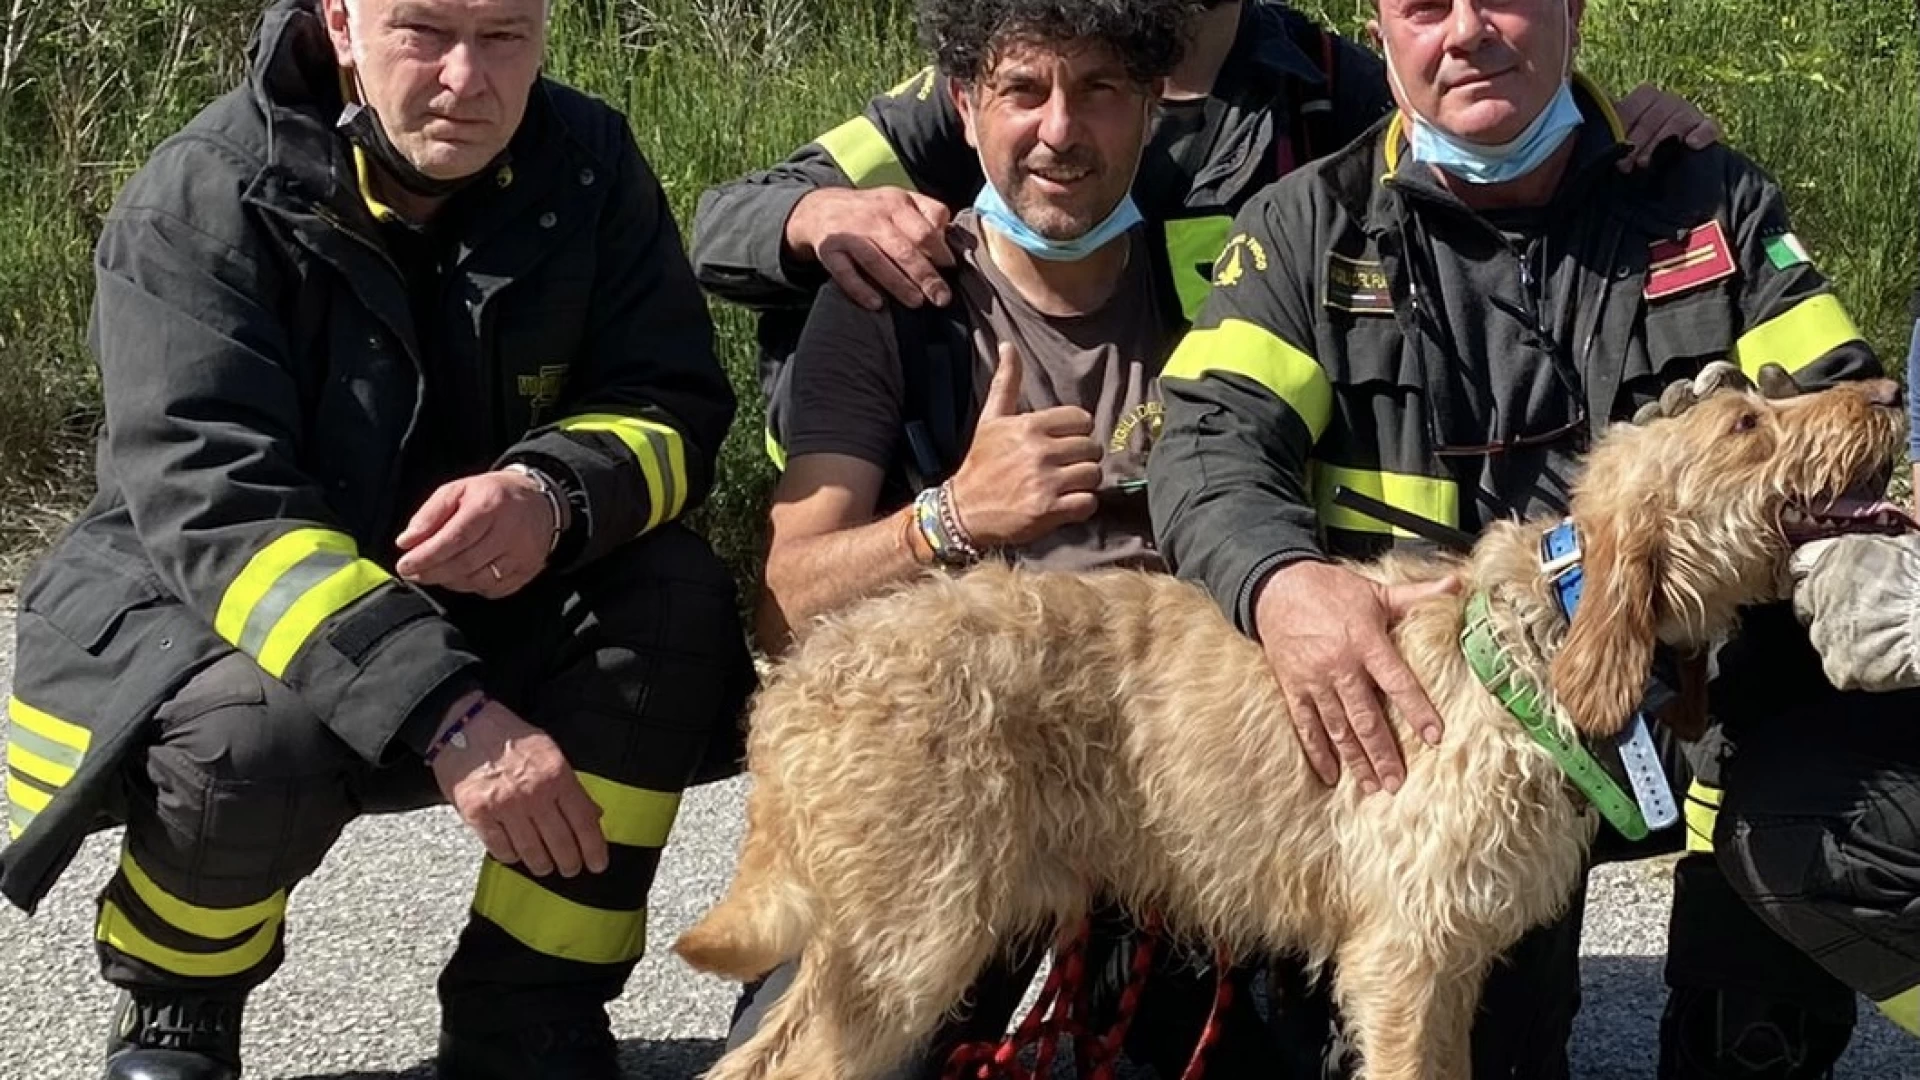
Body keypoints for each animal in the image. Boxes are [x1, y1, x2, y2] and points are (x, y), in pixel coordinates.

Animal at [675, 378, 1904, 1076]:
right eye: (1745, 424)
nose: (1888, 393)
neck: (1539, 638)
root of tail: (797, 681)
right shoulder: (1405, 955)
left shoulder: (1449, 962)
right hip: (909, 949)